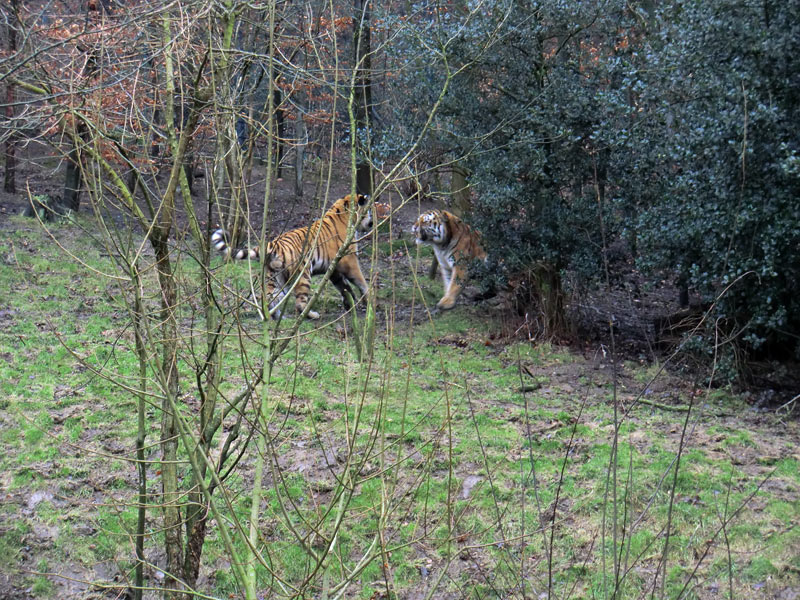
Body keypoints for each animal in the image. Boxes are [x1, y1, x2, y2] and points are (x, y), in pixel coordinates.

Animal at [212, 196, 376, 318]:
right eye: (369, 210)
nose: (372, 223)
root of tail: (273, 244)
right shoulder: (349, 260)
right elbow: (360, 280)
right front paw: (368, 299)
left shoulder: (334, 269)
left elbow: (344, 286)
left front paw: (350, 303)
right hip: (303, 274)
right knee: (300, 303)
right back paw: (311, 314)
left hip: (276, 277)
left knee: (271, 297)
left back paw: (275, 316)